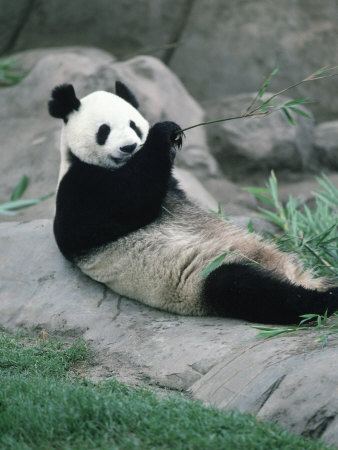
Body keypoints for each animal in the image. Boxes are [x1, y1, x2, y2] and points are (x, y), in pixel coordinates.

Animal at [48, 81, 338, 324]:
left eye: (133, 125)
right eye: (104, 130)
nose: (129, 147)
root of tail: (291, 274)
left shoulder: (172, 187)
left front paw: (173, 135)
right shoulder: (79, 188)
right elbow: (119, 208)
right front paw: (164, 133)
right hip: (205, 277)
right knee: (251, 290)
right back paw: (326, 300)